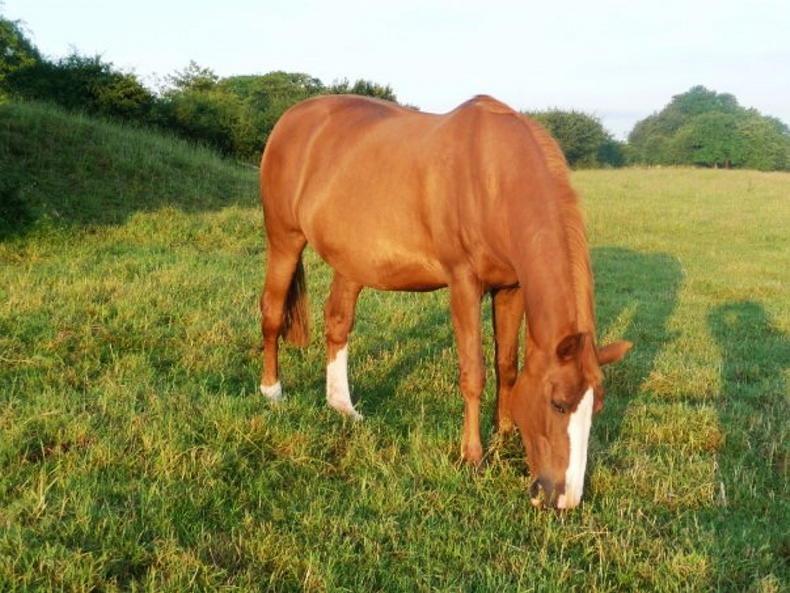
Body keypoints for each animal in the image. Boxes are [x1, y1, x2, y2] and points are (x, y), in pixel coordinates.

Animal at [258, 94, 632, 509]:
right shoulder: (463, 283)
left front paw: (504, 435)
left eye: (596, 407)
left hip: (350, 260)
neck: (494, 176)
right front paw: (472, 456)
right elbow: (474, 372)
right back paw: (272, 391)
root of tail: (291, 118)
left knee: (337, 321)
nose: (564, 499)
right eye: (558, 404)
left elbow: (507, 365)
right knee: (272, 311)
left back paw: (343, 406)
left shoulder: (511, 287)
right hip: (284, 238)